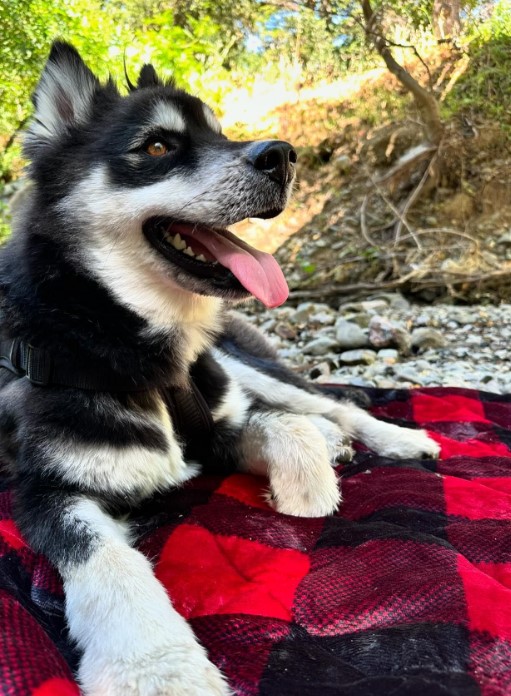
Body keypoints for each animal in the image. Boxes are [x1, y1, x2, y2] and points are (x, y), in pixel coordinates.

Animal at [0, 42, 440, 696]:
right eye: (158, 146)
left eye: (221, 132)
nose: (283, 156)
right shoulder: (46, 490)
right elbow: (108, 559)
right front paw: (156, 665)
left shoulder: (216, 426)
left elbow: (286, 428)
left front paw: (307, 487)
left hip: (239, 365)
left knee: (327, 404)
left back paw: (398, 439)